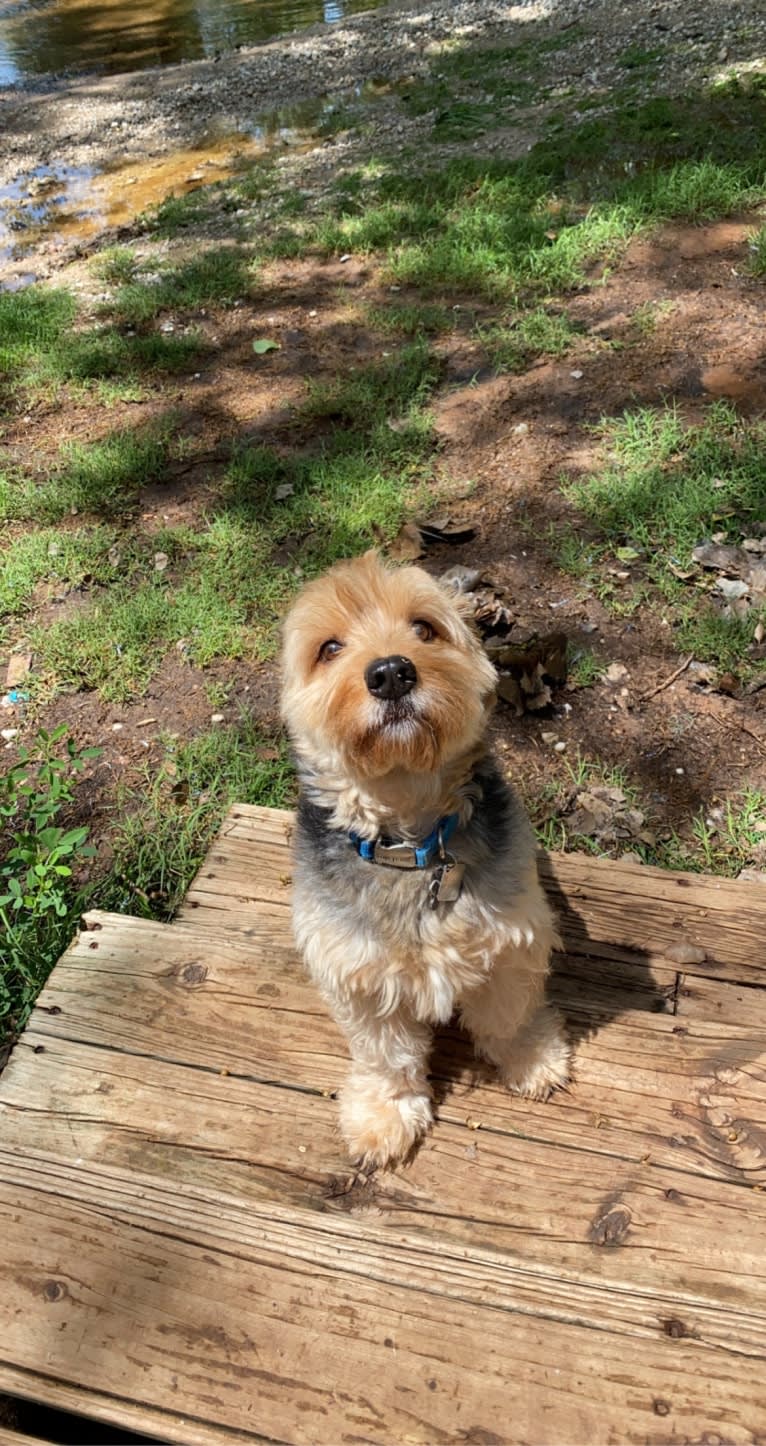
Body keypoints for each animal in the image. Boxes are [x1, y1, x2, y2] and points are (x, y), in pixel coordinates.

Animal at [280, 546, 566, 1168]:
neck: (411, 841)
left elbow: (509, 1014)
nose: (391, 673)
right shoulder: (359, 973)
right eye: (328, 648)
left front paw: (531, 1058)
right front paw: (383, 1116)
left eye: (425, 628)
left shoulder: (512, 938)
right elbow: (386, 1055)